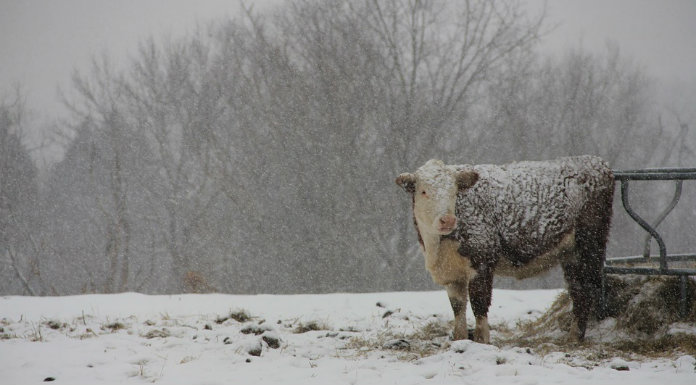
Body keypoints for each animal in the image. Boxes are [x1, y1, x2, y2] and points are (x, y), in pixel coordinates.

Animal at [396, 156, 616, 342]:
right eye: (424, 191)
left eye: (455, 191)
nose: (447, 220)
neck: (437, 247)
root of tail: (597, 162)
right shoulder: (452, 273)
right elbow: (458, 308)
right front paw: (459, 339)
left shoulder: (482, 260)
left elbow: (479, 303)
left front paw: (482, 340)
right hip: (570, 254)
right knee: (578, 291)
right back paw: (573, 338)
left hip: (589, 244)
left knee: (588, 287)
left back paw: (576, 337)